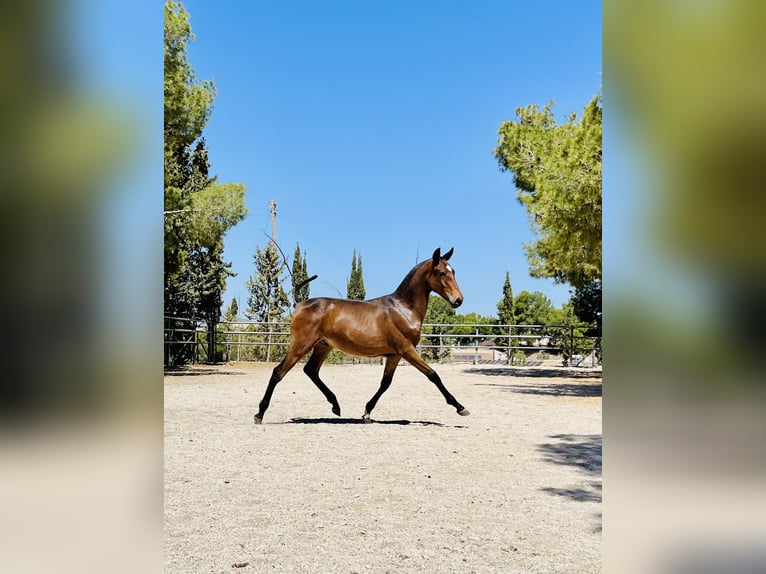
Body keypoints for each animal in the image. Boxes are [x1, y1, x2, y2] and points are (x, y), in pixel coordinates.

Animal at [254, 248, 468, 424]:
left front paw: (366, 413)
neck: (403, 309)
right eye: (442, 272)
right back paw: (259, 414)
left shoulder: (394, 355)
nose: (459, 300)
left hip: (323, 346)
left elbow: (385, 383)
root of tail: (300, 303)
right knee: (278, 372)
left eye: (454, 271)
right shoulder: (406, 350)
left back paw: (336, 406)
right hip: (301, 346)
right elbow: (433, 375)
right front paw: (460, 407)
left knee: (311, 371)